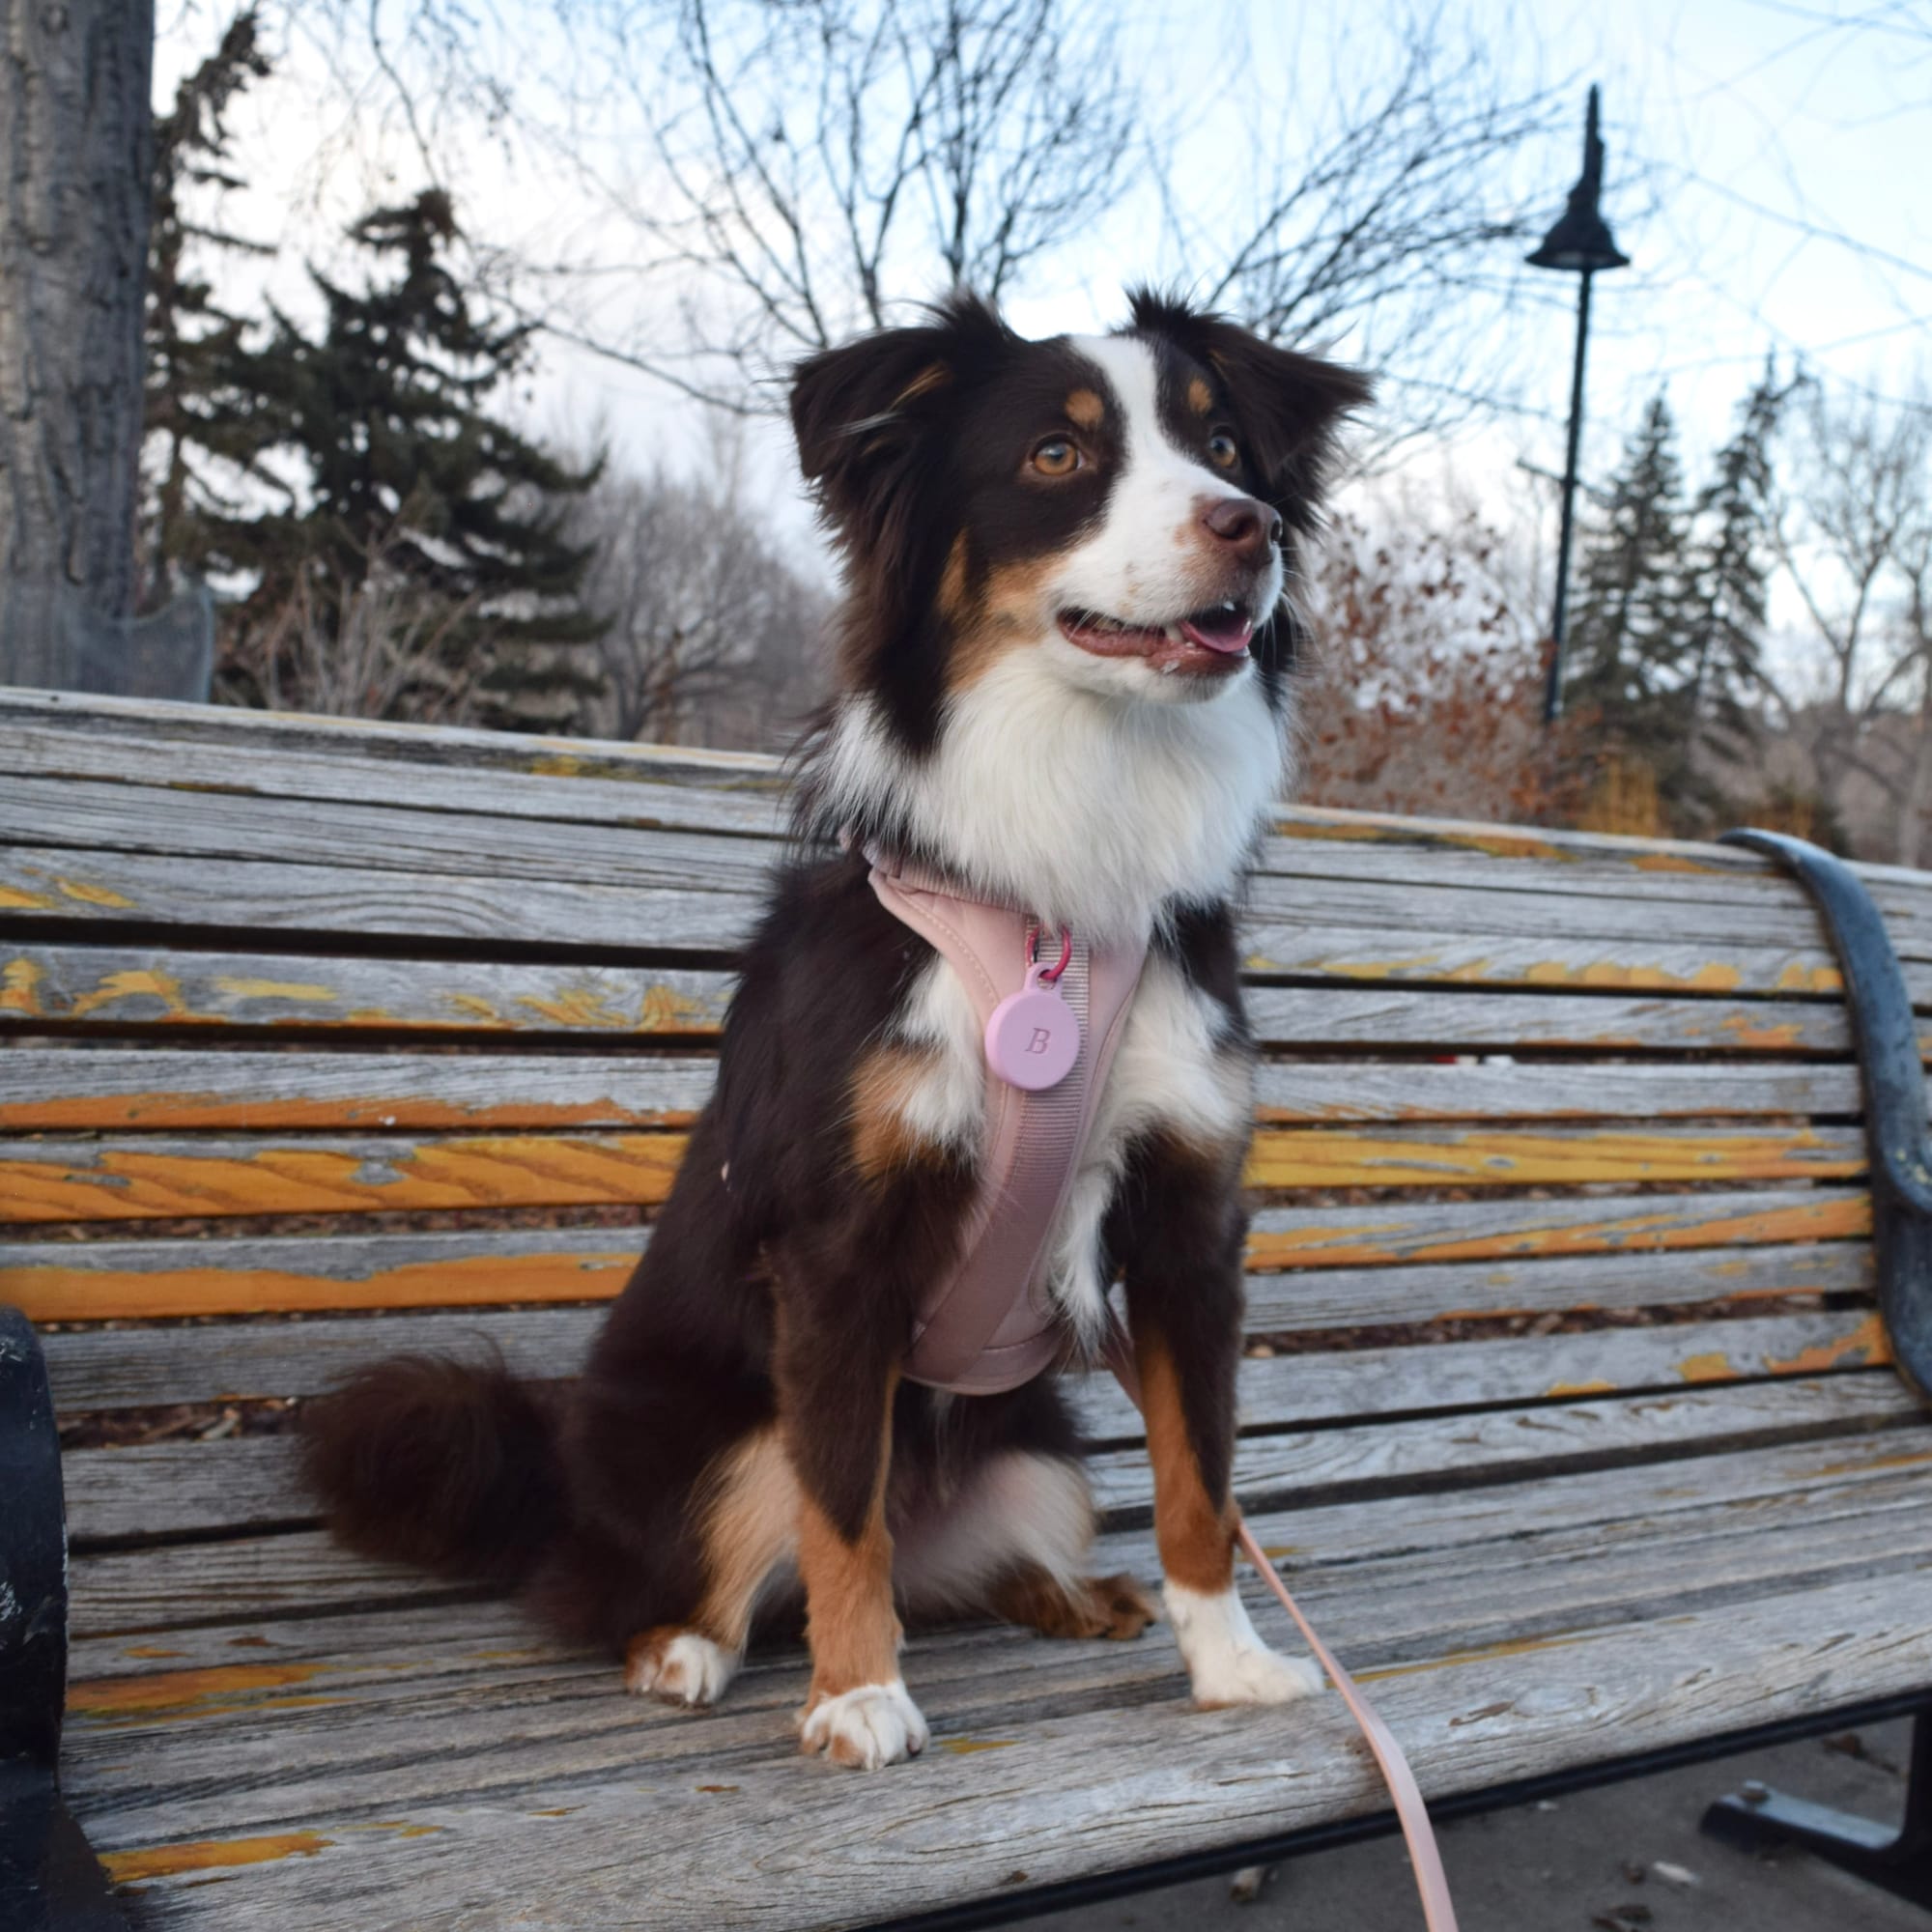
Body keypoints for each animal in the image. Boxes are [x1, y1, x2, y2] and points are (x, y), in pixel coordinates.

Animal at [301, 282, 1368, 1770]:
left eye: (1224, 446)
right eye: (1055, 454)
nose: (1247, 526)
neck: (1054, 912)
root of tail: (556, 1470)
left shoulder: (1186, 1224)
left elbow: (1198, 1481)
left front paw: (1231, 1663)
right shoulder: (837, 1251)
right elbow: (839, 1508)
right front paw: (860, 1697)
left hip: (1038, 1458)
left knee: (965, 1560)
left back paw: (1072, 1595)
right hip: (729, 1431)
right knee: (723, 1564)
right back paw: (685, 1650)